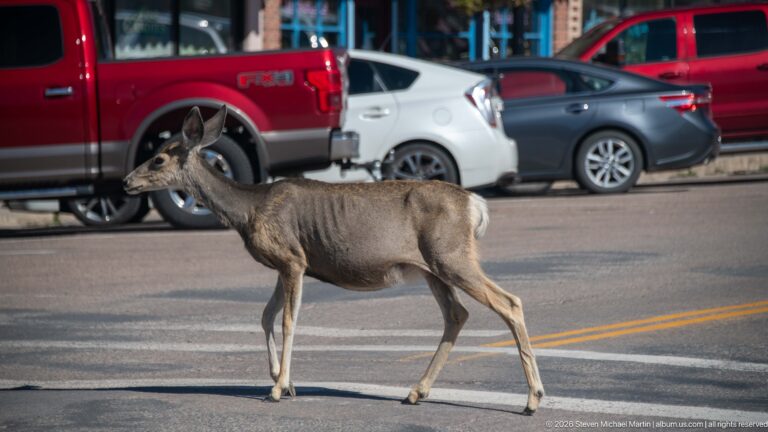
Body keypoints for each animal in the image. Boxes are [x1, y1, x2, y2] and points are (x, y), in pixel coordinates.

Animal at [123, 105, 545, 414]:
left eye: (158, 159)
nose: (127, 181)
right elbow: (265, 315)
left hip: (452, 256)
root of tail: (476, 204)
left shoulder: (292, 259)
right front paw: (283, 380)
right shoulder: (286, 263)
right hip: (434, 268)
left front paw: (277, 388)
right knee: (457, 314)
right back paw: (416, 391)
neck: (248, 209)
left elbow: (289, 321)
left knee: (510, 302)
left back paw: (532, 399)